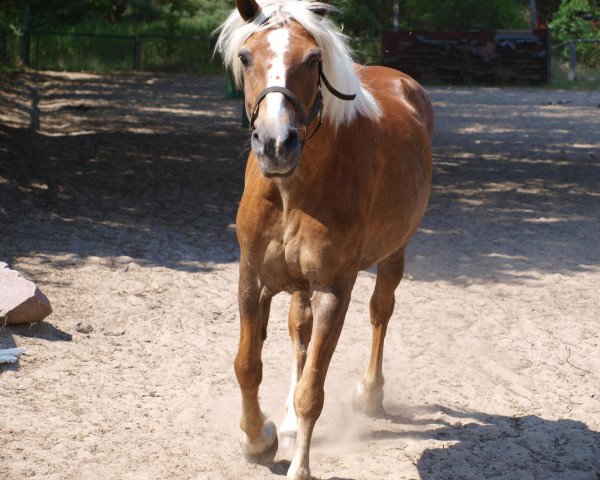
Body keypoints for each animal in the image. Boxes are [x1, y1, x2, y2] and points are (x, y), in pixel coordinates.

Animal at [218, 1, 434, 478]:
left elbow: (312, 392)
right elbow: (247, 366)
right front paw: (259, 438)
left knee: (380, 311)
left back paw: (370, 392)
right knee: (299, 333)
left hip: (393, 253)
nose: (276, 144)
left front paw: (299, 466)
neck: (292, 191)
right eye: (246, 56)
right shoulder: (252, 279)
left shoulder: (334, 290)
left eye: (312, 59)